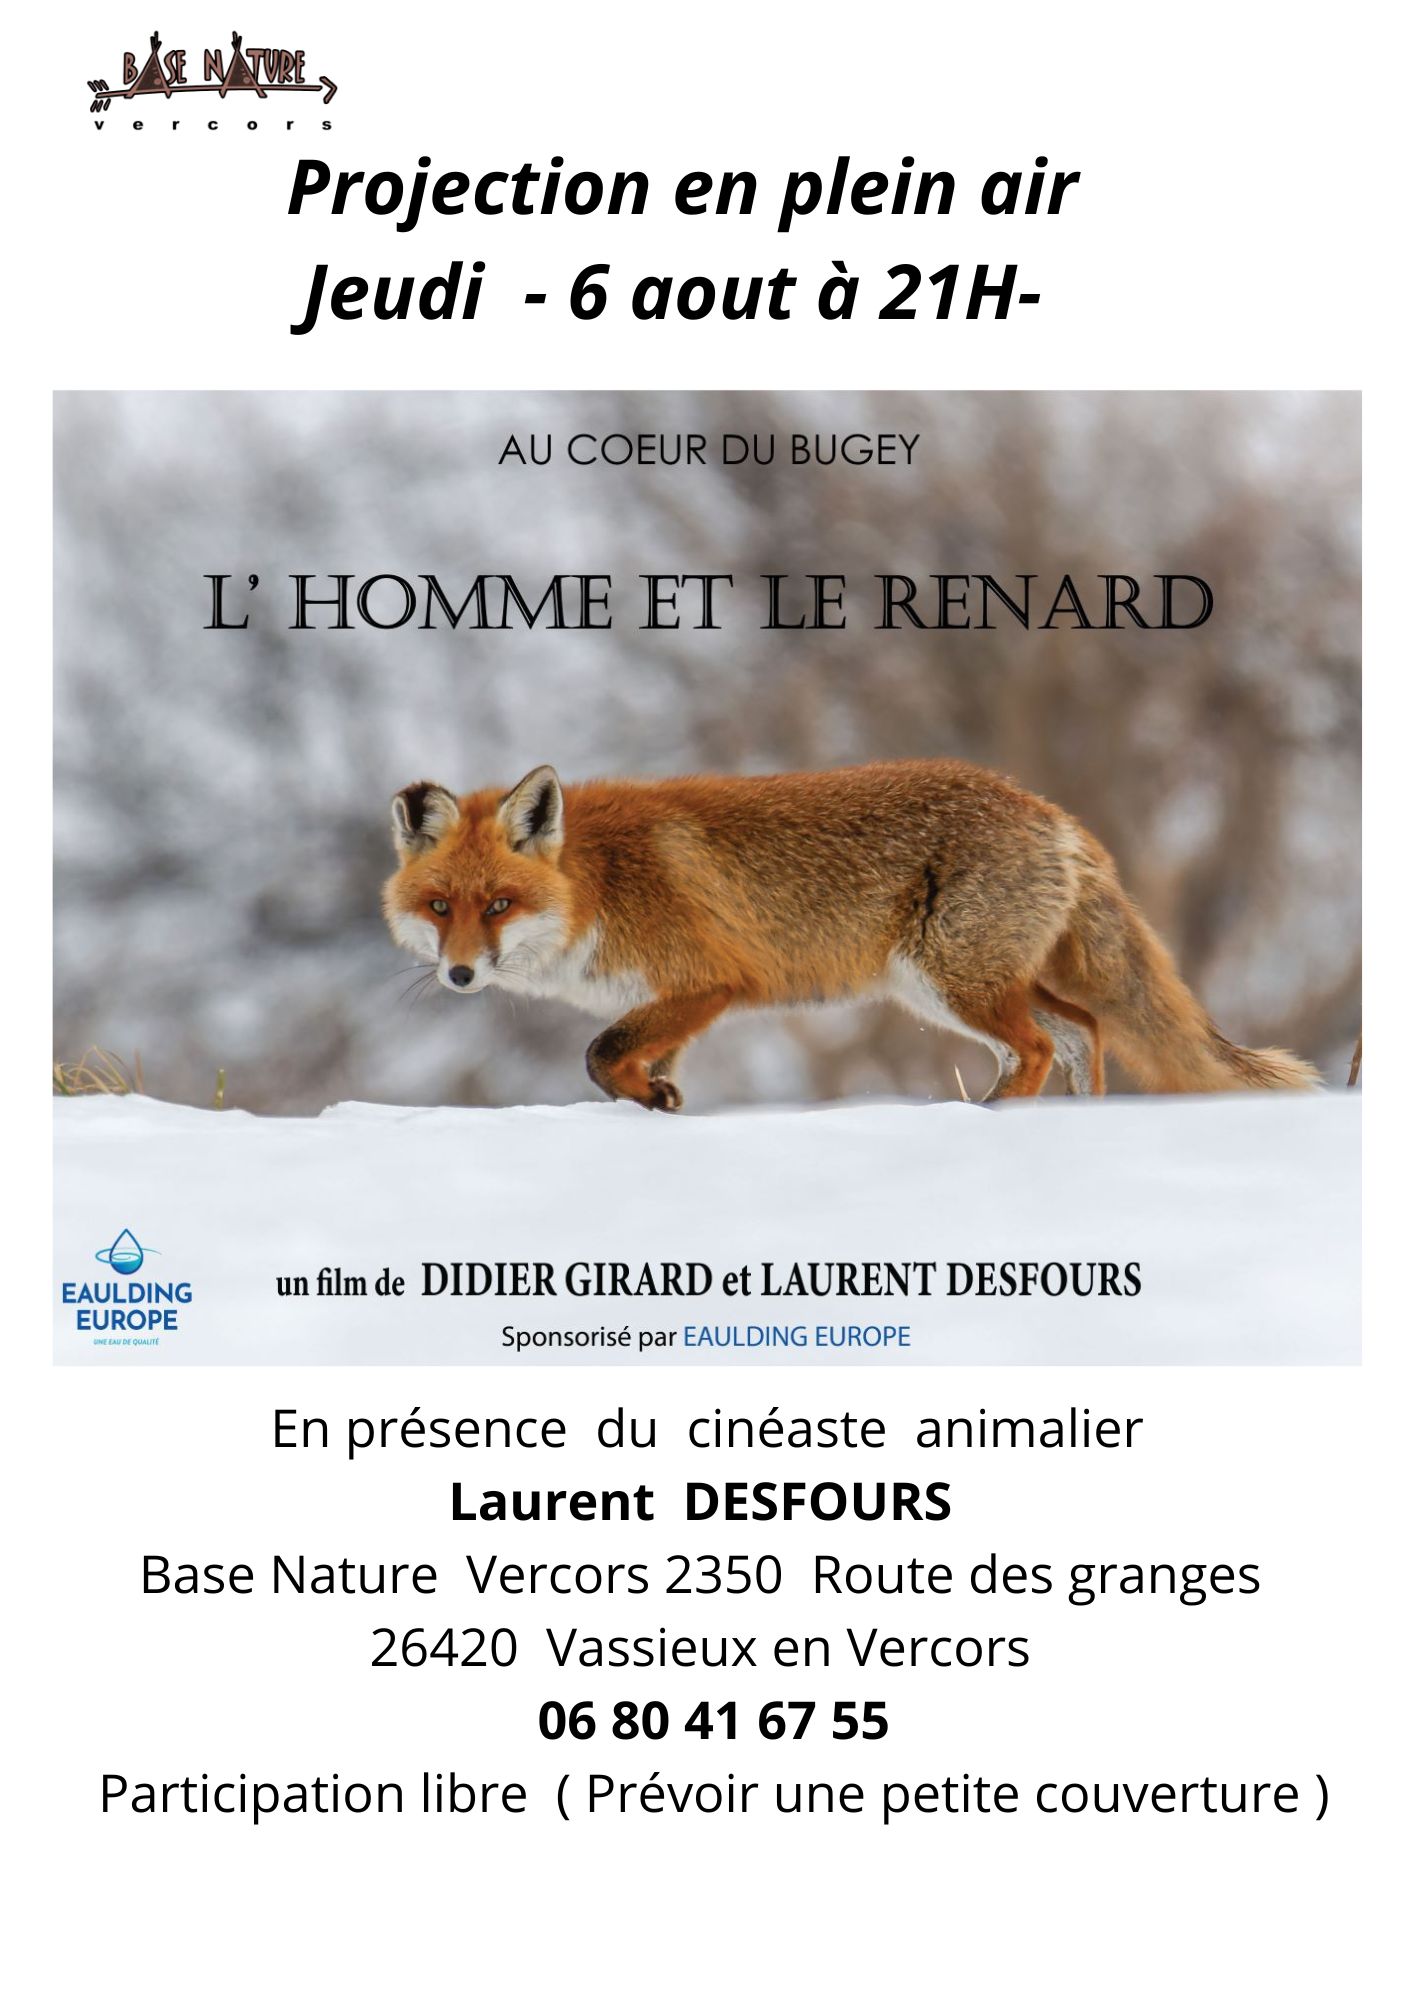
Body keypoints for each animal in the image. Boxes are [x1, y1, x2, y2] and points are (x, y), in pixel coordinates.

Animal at [382, 759, 1320, 1110]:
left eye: (499, 905)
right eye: (441, 908)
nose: (460, 976)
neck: (596, 884)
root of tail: (1048, 809)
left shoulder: (706, 982)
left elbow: (601, 1055)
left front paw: (651, 1101)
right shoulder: (668, 1003)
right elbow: (630, 1065)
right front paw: (659, 1108)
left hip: (952, 983)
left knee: (1040, 1046)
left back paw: (993, 1121)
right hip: (957, 989)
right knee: (1083, 1029)